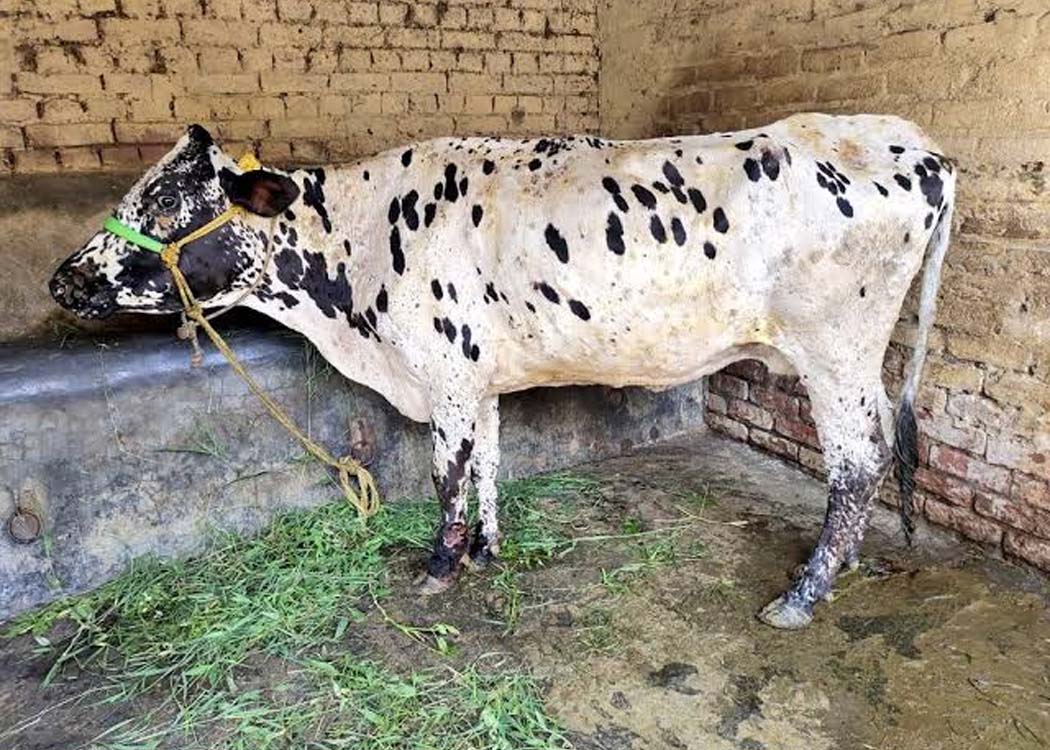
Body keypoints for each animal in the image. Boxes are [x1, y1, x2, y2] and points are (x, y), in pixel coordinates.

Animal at [49, 113, 955, 629]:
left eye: (167, 203)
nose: (64, 279)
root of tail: (916, 143)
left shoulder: (444, 377)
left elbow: (447, 473)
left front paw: (439, 568)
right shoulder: (474, 379)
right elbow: (487, 458)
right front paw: (486, 551)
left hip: (834, 349)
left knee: (857, 462)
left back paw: (803, 595)